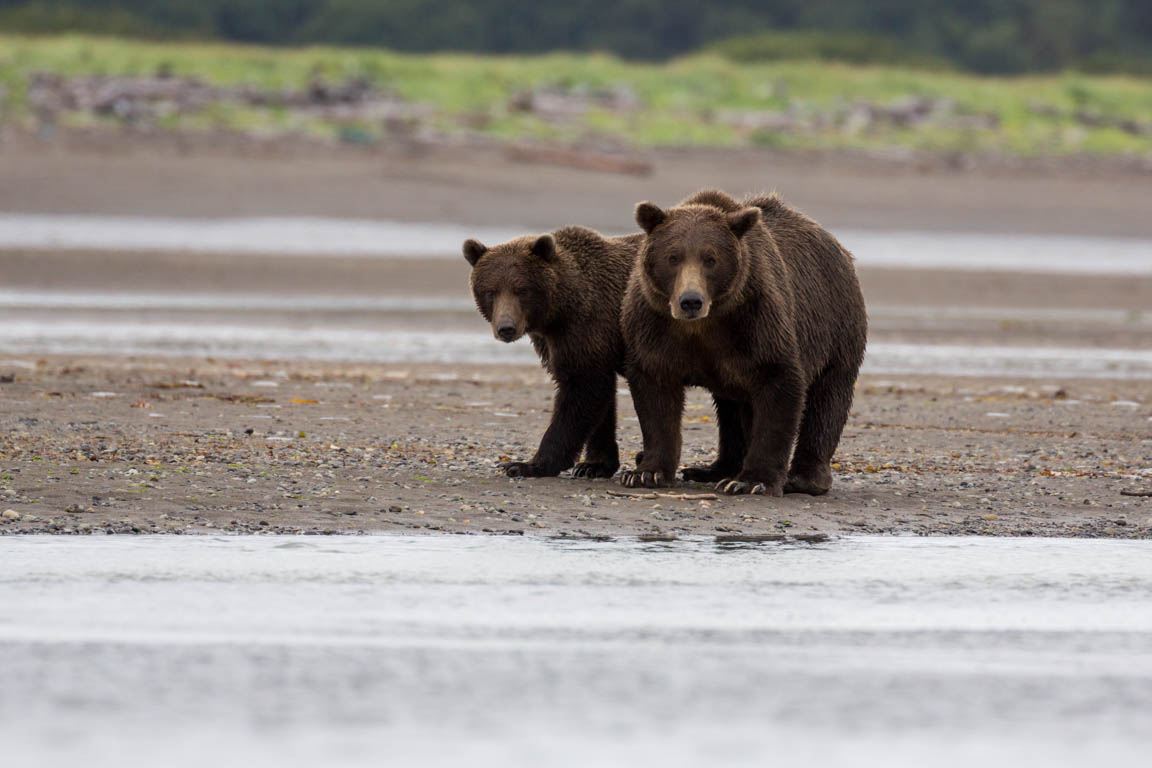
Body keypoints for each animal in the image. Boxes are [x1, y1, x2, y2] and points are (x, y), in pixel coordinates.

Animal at [463, 227, 645, 481]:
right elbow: (601, 400)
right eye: (491, 291)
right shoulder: (561, 342)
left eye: (522, 290)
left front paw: (526, 465)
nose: (506, 328)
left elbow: (581, 391)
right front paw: (594, 464)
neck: (559, 313)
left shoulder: (585, 328)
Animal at [622, 188, 866, 495]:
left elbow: (779, 387)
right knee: (730, 408)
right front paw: (645, 473)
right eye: (673, 257)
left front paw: (752, 481)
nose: (690, 301)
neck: (704, 325)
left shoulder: (757, 323)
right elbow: (655, 394)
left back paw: (805, 478)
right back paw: (713, 469)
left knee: (827, 399)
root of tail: (840, 248)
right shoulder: (654, 327)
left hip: (836, 328)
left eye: (710, 259)